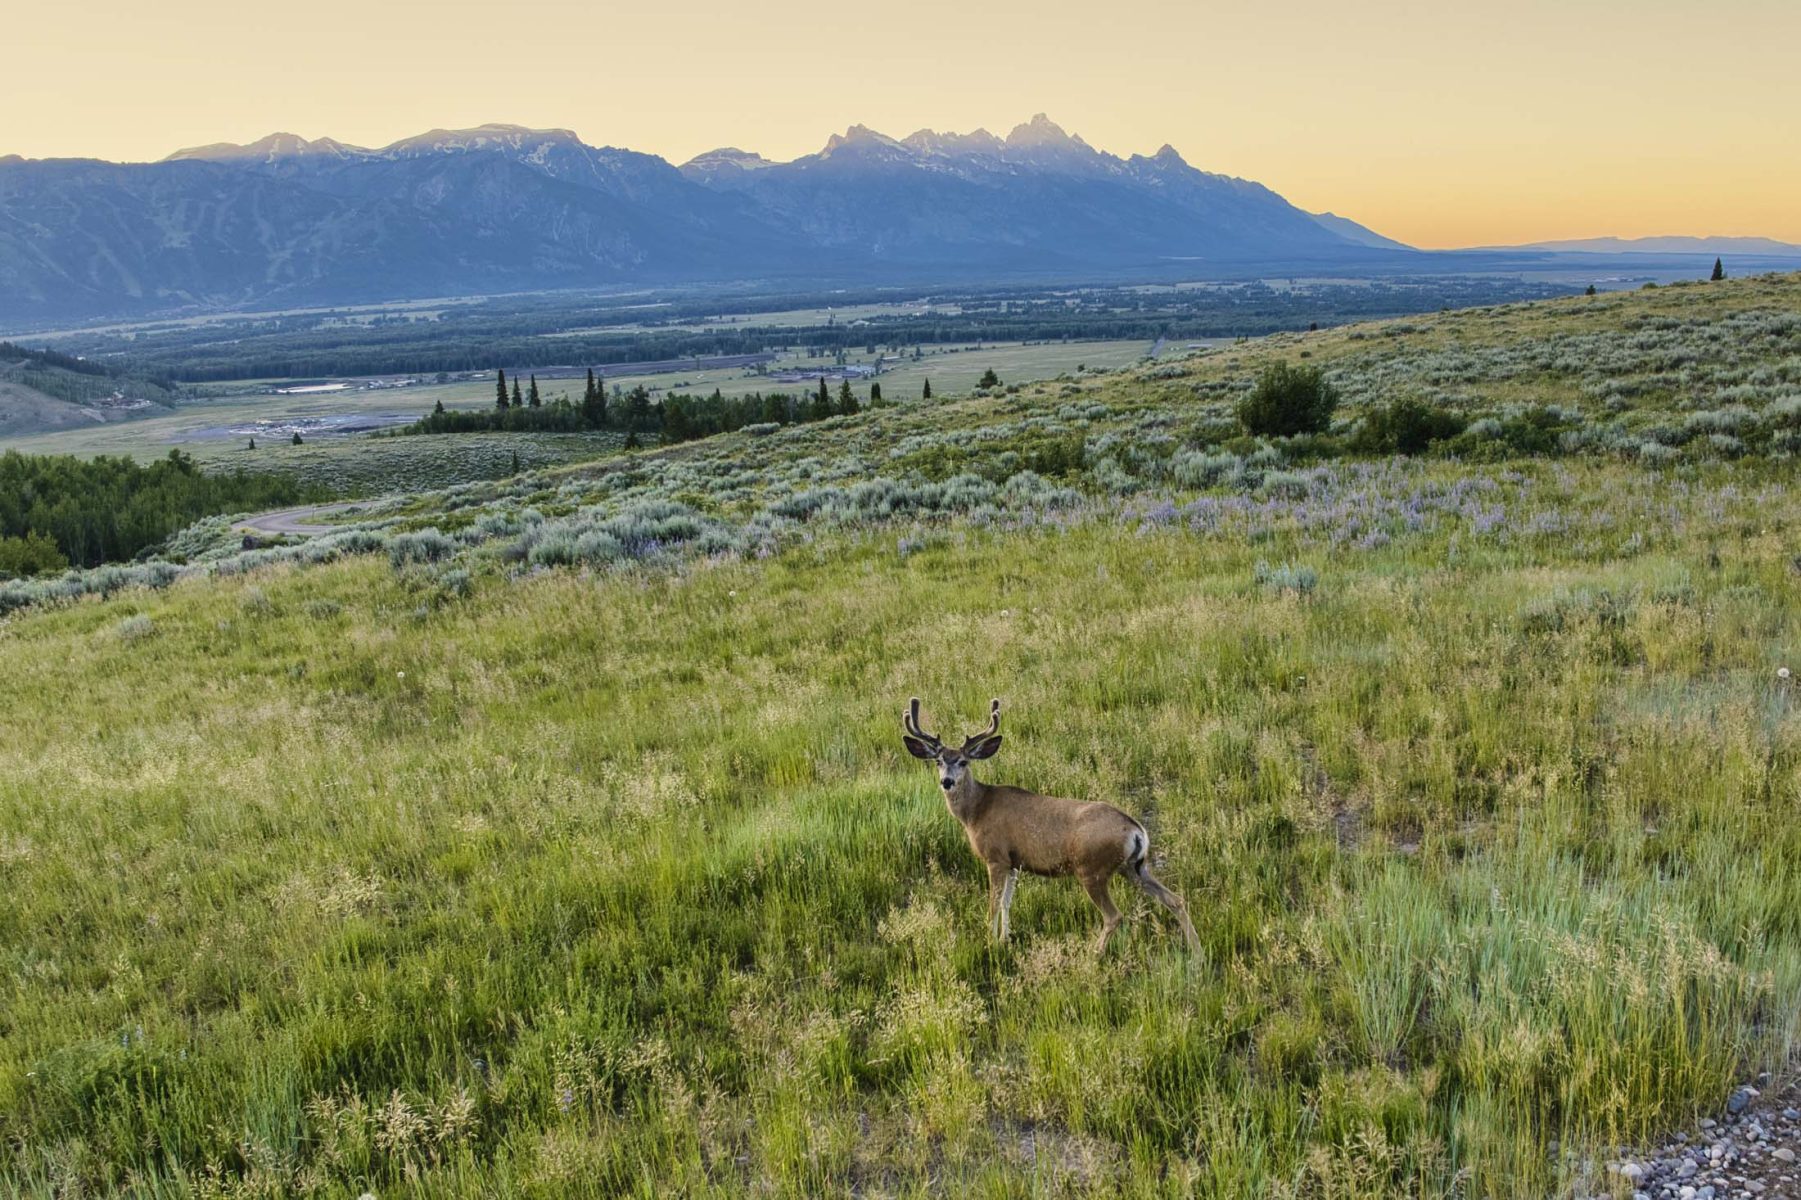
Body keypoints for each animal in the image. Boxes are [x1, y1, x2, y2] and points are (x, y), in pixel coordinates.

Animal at [902, 697, 1200, 955]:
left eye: (964, 761)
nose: (947, 781)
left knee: (1114, 916)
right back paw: (1197, 954)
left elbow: (993, 906)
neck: (976, 811)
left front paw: (990, 942)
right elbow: (1007, 903)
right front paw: (1005, 939)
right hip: (1134, 867)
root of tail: (1137, 829)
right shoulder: (1014, 862)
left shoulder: (996, 857)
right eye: (938, 761)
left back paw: (1094, 954)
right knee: (1175, 899)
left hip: (1092, 869)